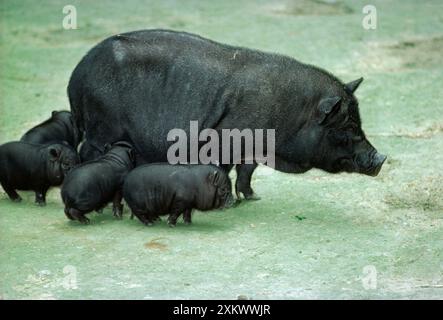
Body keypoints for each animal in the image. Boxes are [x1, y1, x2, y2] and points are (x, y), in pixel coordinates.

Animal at [67, 30, 386, 200]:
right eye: (346, 128)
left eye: (359, 123)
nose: (382, 157)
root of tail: (75, 77)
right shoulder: (225, 141)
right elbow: (224, 170)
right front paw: (231, 200)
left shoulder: (253, 149)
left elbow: (246, 171)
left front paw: (253, 197)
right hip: (102, 126)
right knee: (87, 153)